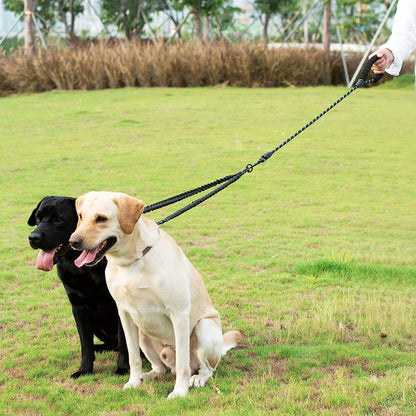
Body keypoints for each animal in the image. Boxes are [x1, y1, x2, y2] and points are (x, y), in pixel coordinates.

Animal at [27, 197, 128, 378]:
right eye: (38, 218)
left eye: (59, 220)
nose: (33, 237)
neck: (82, 267)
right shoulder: (79, 308)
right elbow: (85, 345)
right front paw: (84, 370)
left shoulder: (121, 306)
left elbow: (125, 343)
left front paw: (123, 368)